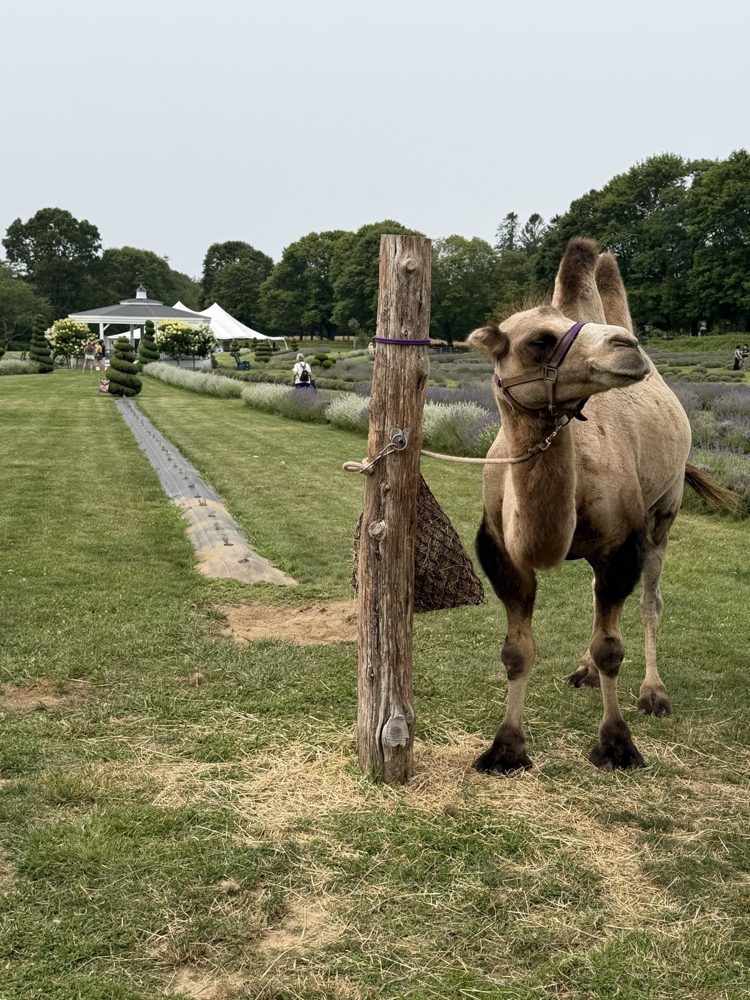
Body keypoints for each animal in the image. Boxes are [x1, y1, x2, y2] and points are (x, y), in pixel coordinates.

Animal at [468, 236, 733, 772]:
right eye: (539, 341)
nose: (628, 347)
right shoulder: (501, 550)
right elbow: (516, 651)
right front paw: (505, 748)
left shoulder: (622, 543)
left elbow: (613, 647)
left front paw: (616, 743)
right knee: (597, 595)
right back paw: (584, 670)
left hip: (664, 512)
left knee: (650, 600)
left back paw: (653, 693)